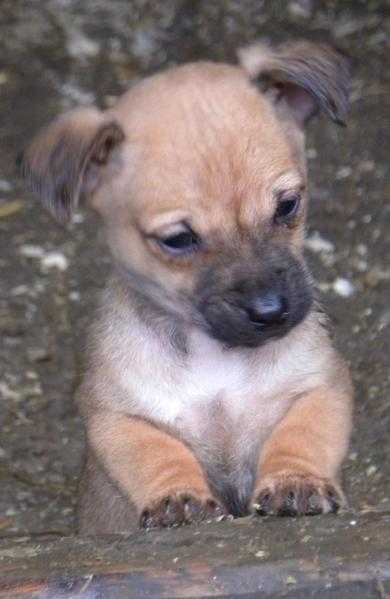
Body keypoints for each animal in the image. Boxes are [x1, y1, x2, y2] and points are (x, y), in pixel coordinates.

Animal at [19, 41, 354, 536]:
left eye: (288, 206)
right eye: (178, 240)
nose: (271, 310)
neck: (216, 355)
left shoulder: (321, 385)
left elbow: (301, 433)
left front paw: (296, 480)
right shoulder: (120, 417)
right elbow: (156, 453)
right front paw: (178, 496)